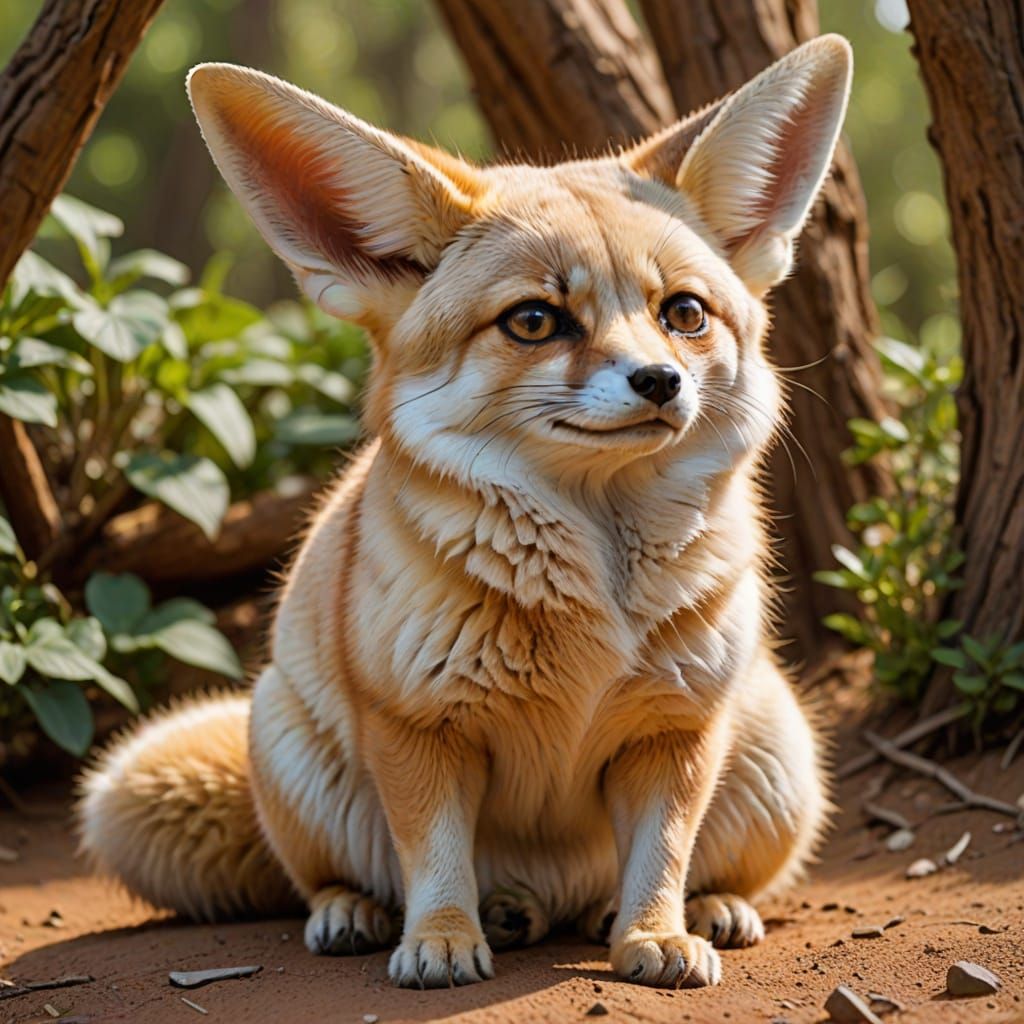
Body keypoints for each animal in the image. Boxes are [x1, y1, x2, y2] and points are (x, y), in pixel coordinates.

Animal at [78, 35, 852, 990]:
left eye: (683, 313)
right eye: (535, 321)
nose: (660, 381)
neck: (595, 596)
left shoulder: (675, 729)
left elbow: (663, 853)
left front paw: (655, 935)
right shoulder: (420, 727)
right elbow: (436, 858)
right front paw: (441, 941)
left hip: (778, 753)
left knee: (674, 878)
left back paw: (690, 909)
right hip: (281, 745)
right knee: (330, 877)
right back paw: (372, 913)